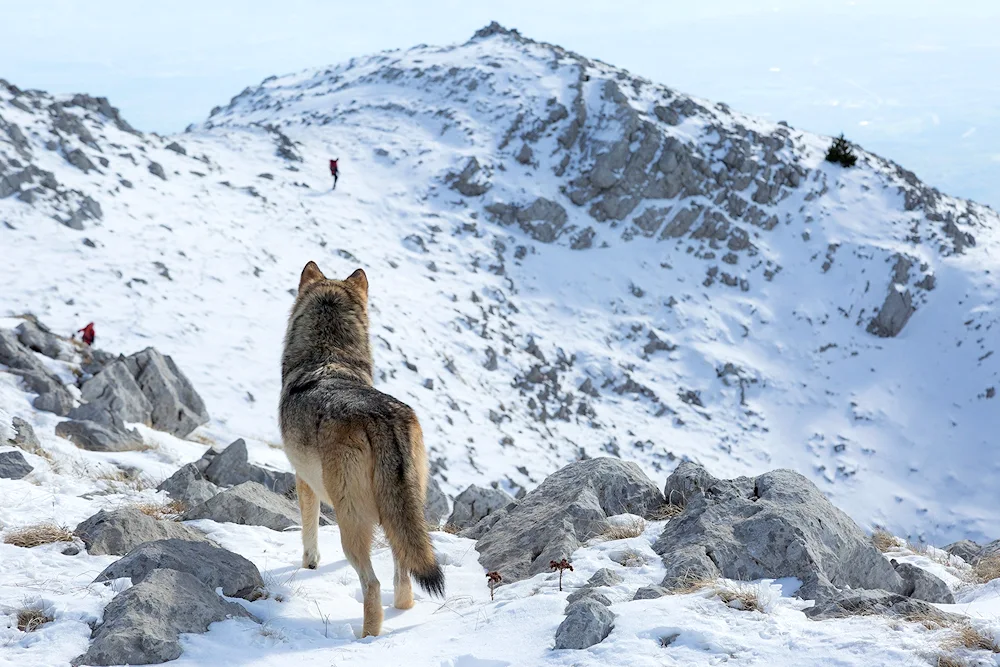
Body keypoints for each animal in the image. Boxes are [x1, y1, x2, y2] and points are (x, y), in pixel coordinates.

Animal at [278, 260, 442, 636]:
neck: (327, 356)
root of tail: (383, 418)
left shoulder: (303, 480)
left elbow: (309, 531)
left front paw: (309, 564)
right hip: (403, 510)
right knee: (403, 574)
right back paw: (401, 613)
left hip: (349, 518)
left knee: (373, 583)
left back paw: (366, 636)